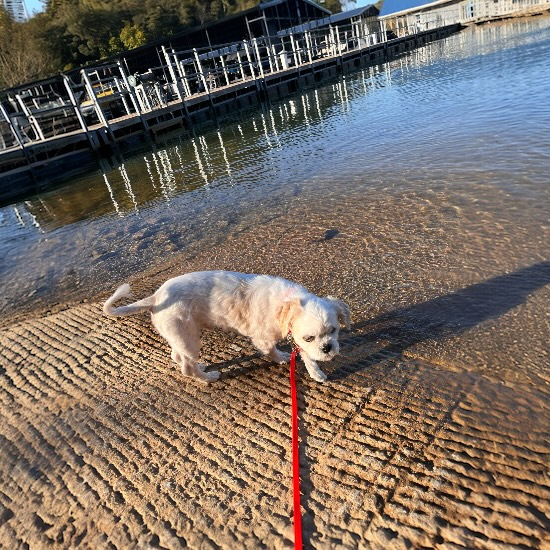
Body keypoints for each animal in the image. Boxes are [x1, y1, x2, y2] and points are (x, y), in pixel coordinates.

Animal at [103, 270, 350, 383]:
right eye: (309, 337)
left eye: (333, 331)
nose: (328, 348)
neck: (288, 301)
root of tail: (156, 297)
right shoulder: (264, 338)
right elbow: (272, 350)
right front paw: (281, 358)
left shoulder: (295, 335)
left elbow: (307, 356)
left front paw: (316, 373)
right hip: (188, 337)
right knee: (186, 366)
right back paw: (207, 377)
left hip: (180, 335)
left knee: (177, 355)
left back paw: (201, 367)